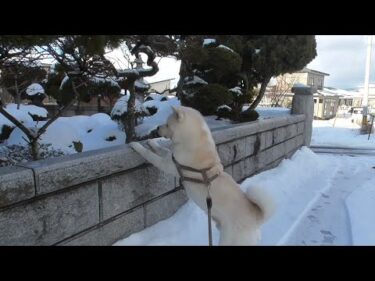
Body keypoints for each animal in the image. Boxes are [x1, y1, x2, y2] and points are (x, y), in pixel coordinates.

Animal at [130, 106, 276, 244]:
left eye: (167, 124)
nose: (157, 128)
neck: (193, 142)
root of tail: (255, 219)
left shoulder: (167, 164)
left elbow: (149, 155)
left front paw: (136, 145)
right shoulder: (170, 157)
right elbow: (161, 149)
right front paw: (151, 142)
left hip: (230, 239)